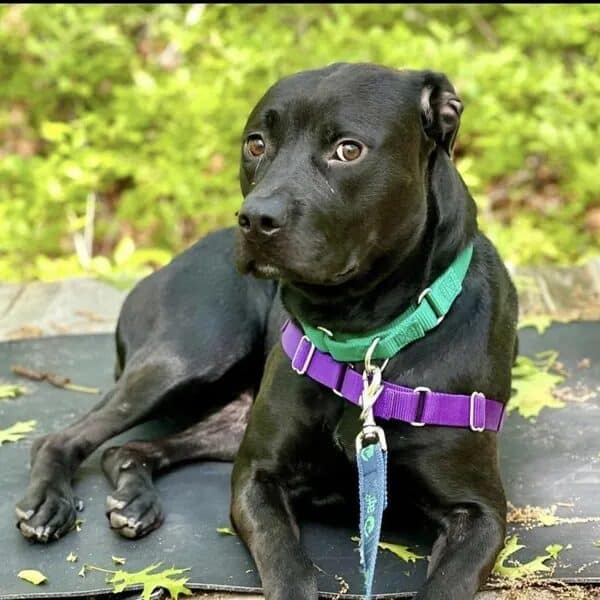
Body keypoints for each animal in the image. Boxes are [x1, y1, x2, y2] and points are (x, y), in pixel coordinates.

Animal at [16, 63, 516, 596]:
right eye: (256, 144)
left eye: (348, 149)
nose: (255, 219)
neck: (366, 336)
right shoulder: (257, 477)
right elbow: (287, 562)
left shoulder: (481, 512)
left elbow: (447, 584)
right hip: (187, 357)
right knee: (63, 438)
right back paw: (48, 504)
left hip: (228, 416)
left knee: (127, 450)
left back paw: (135, 501)